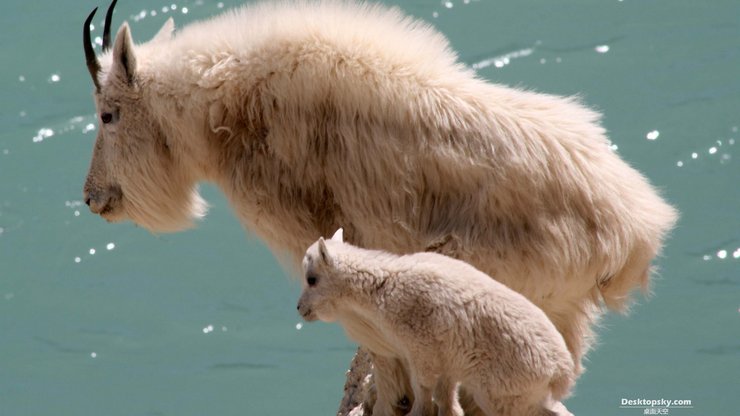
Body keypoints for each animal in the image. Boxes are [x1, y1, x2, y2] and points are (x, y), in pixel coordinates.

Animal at [81, 0, 676, 412]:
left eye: (108, 114)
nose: (92, 198)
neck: (224, 107)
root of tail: (635, 234)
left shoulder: (324, 241)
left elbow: (372, 335)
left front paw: (388, 401)